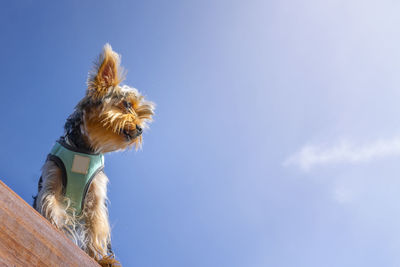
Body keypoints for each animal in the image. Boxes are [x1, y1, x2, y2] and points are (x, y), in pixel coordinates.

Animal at [33, 44, 155, 266]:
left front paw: (100, 258)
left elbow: (95, 228)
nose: (140, 129)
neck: (85, 148)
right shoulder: (52, 179)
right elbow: (51, 205)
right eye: (126, 105)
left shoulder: (96, 197)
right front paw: (55, 228)